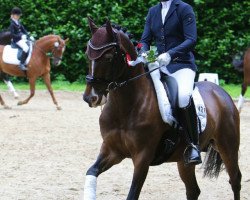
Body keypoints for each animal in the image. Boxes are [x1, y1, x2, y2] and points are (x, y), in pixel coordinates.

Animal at [83, 18, 241, 199]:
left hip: (228, 147)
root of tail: (221, 93)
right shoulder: (112, 150)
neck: (126, 107)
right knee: (193, 190)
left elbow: (133, 193)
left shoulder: (143, 158)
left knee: (235, 180)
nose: (90, 97)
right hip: (184, 160)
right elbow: (91, 172)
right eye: (87, 54)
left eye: (108, 57)